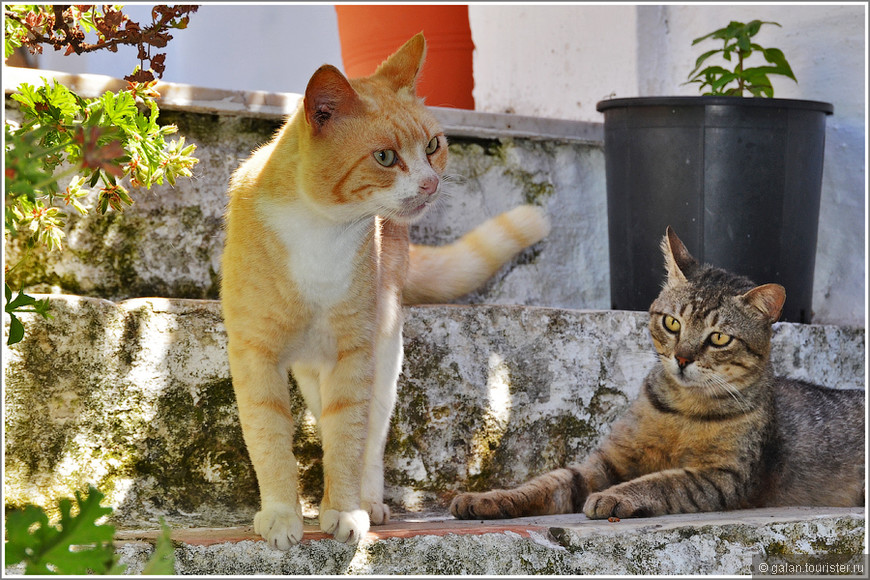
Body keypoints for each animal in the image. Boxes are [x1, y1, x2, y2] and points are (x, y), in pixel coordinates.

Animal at [223, 34, 552, 552]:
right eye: (384, 157)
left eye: (433, 146)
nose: (431, 183)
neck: (320, 230)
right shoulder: (255, 354)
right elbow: (270, 438)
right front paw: (280, 516)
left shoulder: (353, 354)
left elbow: (347, 441)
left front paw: (344, 512)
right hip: (314, 371)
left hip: (385, 355)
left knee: (370, 437)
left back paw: (369, 503)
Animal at [454, 228, 860, 520]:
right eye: (672, 323)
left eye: (719, 338)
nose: (682, 358)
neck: (682, 410)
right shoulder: (604, 461)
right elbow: (547, 482)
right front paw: (488, 498)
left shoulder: (720, 476)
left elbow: (664, 481)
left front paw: (613, 496)